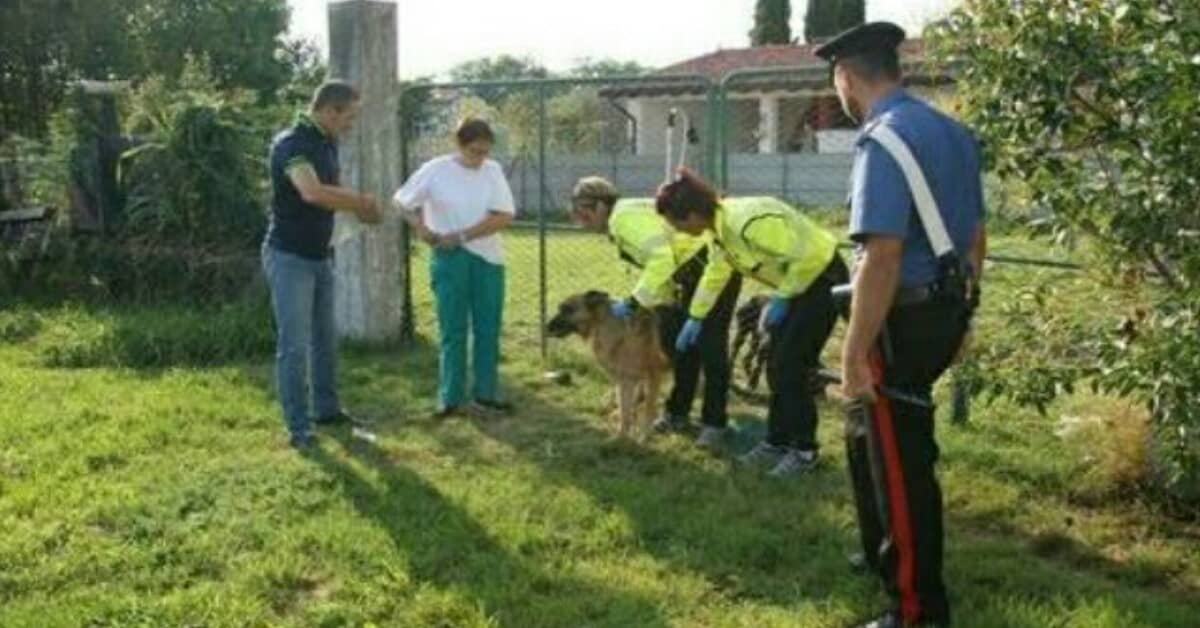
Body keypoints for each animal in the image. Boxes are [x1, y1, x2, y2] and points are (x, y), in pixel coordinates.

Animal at [547, 291, 672, 441]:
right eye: (560, 308)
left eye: (568, 309)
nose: (546, 327)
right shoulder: (627, 381)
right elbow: (624, 411)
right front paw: (621, 437)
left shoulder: (653, 377)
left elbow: (648, 410)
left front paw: (644, 437)